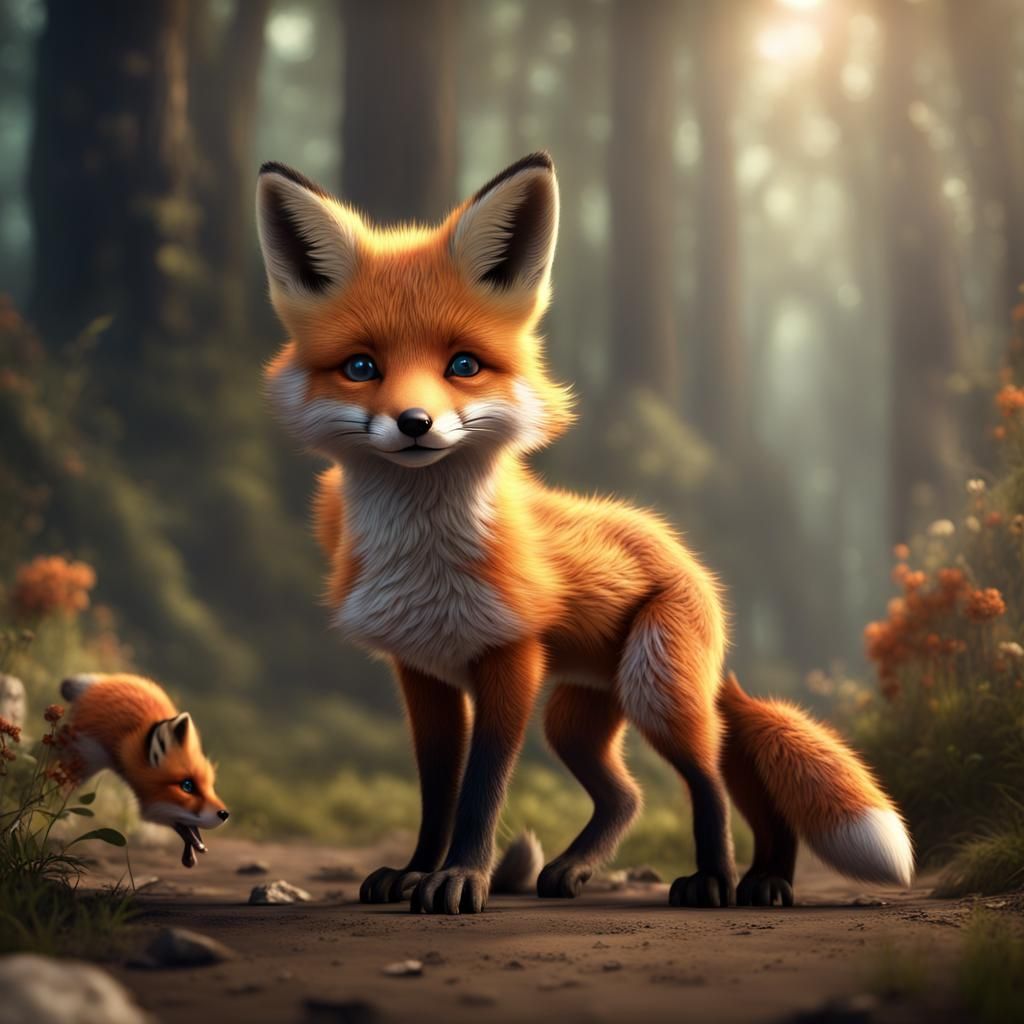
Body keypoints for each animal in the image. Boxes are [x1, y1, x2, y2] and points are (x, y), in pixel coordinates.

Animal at [59, 673, 230, 867]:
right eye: (187, 786)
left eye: (210, 786)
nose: (225, 814)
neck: (126, 740)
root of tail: (104, 679)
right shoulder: (87, 753)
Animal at [255, 151, 914, 915]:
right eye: (362, 367)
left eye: (463, 365)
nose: (415, 423)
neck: (425, 559)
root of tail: (689, 562)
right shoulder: (422, 672)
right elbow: (437, 793)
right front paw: (416, 871)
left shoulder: (510, 660)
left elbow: (480, 791)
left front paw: (460, 879)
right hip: (576, 719)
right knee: (631, 795)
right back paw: (660, 873)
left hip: (658, 693)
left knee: (711, 782)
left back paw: (722, 881)